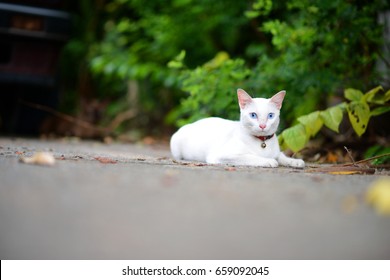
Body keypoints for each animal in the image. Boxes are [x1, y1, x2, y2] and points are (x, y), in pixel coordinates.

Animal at [171, 89, 304, 168]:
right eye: (253, 115)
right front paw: (268, 161)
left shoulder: (276, 152)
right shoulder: (220, 155)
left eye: (270, 115)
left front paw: (295, 161)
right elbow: (250, 157)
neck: (262, 142)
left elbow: (281, 156)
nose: (262, 125)